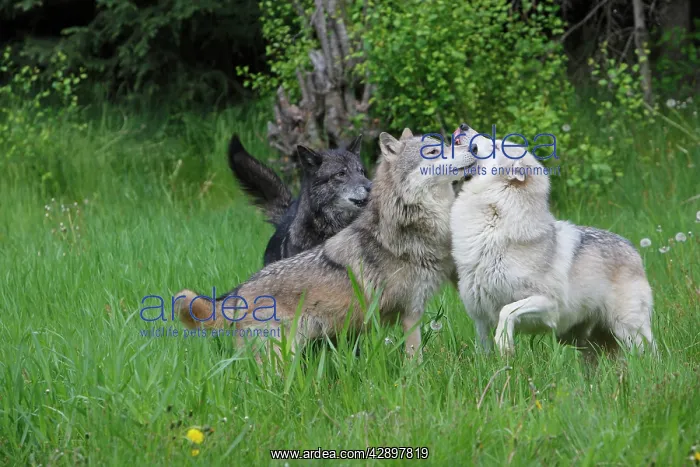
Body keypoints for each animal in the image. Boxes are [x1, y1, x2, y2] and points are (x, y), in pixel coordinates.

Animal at [450, 132, 657, 356]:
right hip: (589, 344)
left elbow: (507, 311)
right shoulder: (480, 319)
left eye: (497, 146)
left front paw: (505, 343)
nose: (462, 127)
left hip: (629, 332)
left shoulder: (548, 304)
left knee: (652, 355)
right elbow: (485, 354)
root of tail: (632, 248)